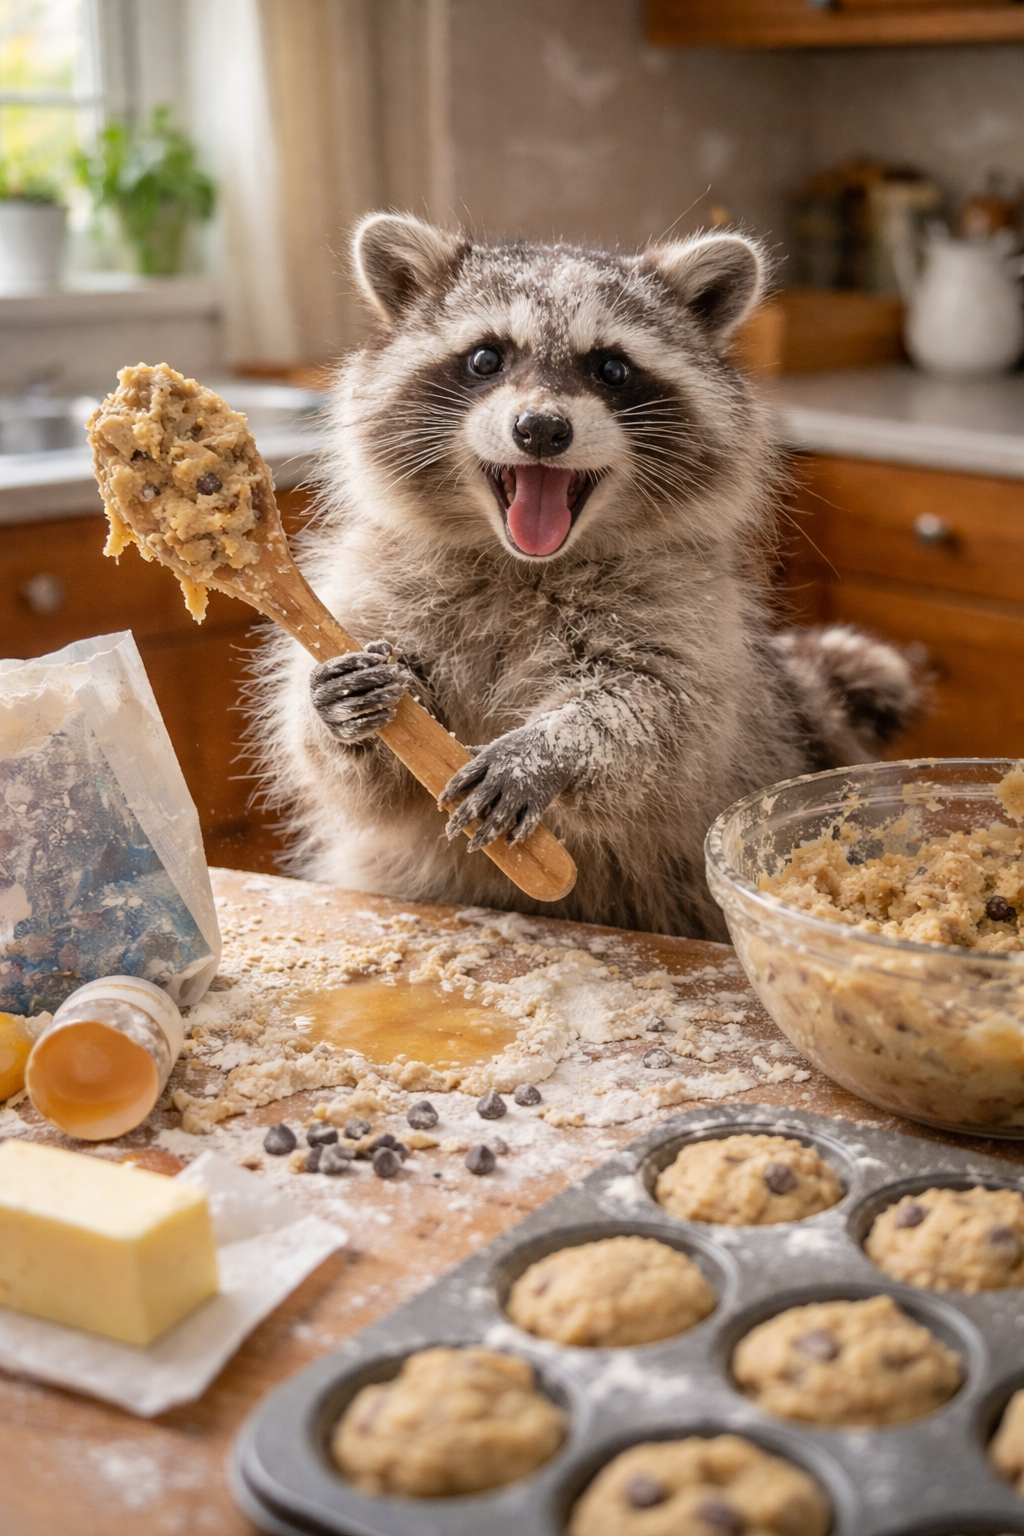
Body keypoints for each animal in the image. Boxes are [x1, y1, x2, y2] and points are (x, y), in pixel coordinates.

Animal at [257, 214, 917, 940]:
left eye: (612, 368)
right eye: (486, 358)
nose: (541, 430)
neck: (524, 563)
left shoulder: (693, 613)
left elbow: (662, 711)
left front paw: (548, 749)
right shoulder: (373, 583)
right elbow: (357, 781)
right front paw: (339, 709)